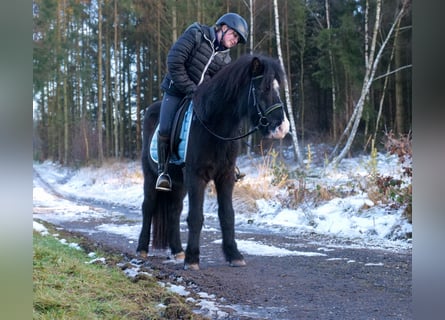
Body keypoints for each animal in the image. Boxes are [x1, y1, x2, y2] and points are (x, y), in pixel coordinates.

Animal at [136, 53, 288, 268]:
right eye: (264, 88)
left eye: (278, 88)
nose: (282, 128)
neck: (213, 125)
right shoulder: (196, 177)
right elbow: (196, 217)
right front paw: (192, 259)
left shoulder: (225, 176)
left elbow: (227, 215)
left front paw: (234, 255)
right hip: (151, 176)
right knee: (148, 207)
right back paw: (142, 249)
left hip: (179, 183)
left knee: (174, 211)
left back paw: (177, 251)